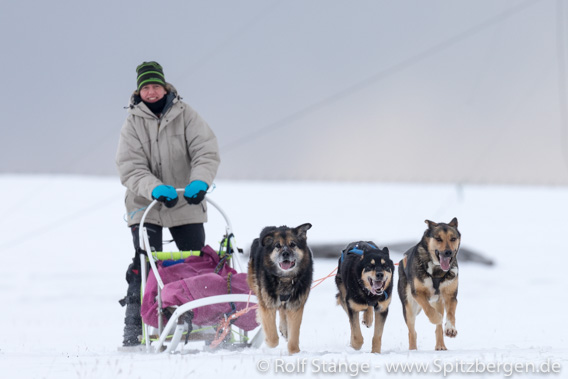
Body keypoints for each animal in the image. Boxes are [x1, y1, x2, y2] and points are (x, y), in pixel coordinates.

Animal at [246, 224, 312, 354]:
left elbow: (293, 337)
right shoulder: (267, 304)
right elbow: (272, 339)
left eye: (292, 244)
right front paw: (268, 340)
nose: (285, 253)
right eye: (277, 245)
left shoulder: (295, 305)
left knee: (282, 310)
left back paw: (284, 328)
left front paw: (294, 352)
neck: (285, 279)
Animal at [400, 218, 462, 352]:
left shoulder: (450, 295)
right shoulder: (418, 293)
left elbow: (451, 314)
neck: (437, 271)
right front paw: (437, 318)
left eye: (453, 238)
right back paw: (413, 349)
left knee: (438, 329)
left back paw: (440, 345)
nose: (448, 252)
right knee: (412, 331)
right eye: (438, 239)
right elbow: (429, 310)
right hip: (409, 306)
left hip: (438, 302)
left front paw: (450, 328)